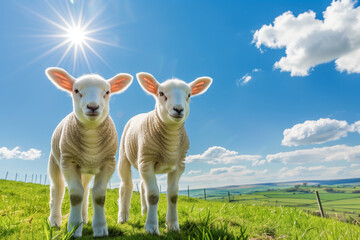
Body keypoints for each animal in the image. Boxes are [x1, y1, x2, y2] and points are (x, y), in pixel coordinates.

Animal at [45, 66, 133, 237]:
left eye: (107, 92)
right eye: (76, 90)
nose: (93, 107)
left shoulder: (108, 163)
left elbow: (98, 196)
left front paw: (100, 228)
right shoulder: (68, 162)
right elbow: (75, 195)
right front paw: (73, 228)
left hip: (85, 170)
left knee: (85, 189)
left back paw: (84, 218)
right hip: (55, 162)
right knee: (57, 190)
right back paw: (55, 220)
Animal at [116, 72, 212, 233]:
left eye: (189, 95)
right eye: (161, 93)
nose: (178, 109)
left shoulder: (179, 164)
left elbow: (172, 195)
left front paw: (172, 225)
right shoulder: (147, 161)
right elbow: (153, 195)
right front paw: (151, 227)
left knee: (142, 187)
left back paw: (144, 211)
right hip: (125, 155)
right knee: (126, 186)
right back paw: (123, 217)